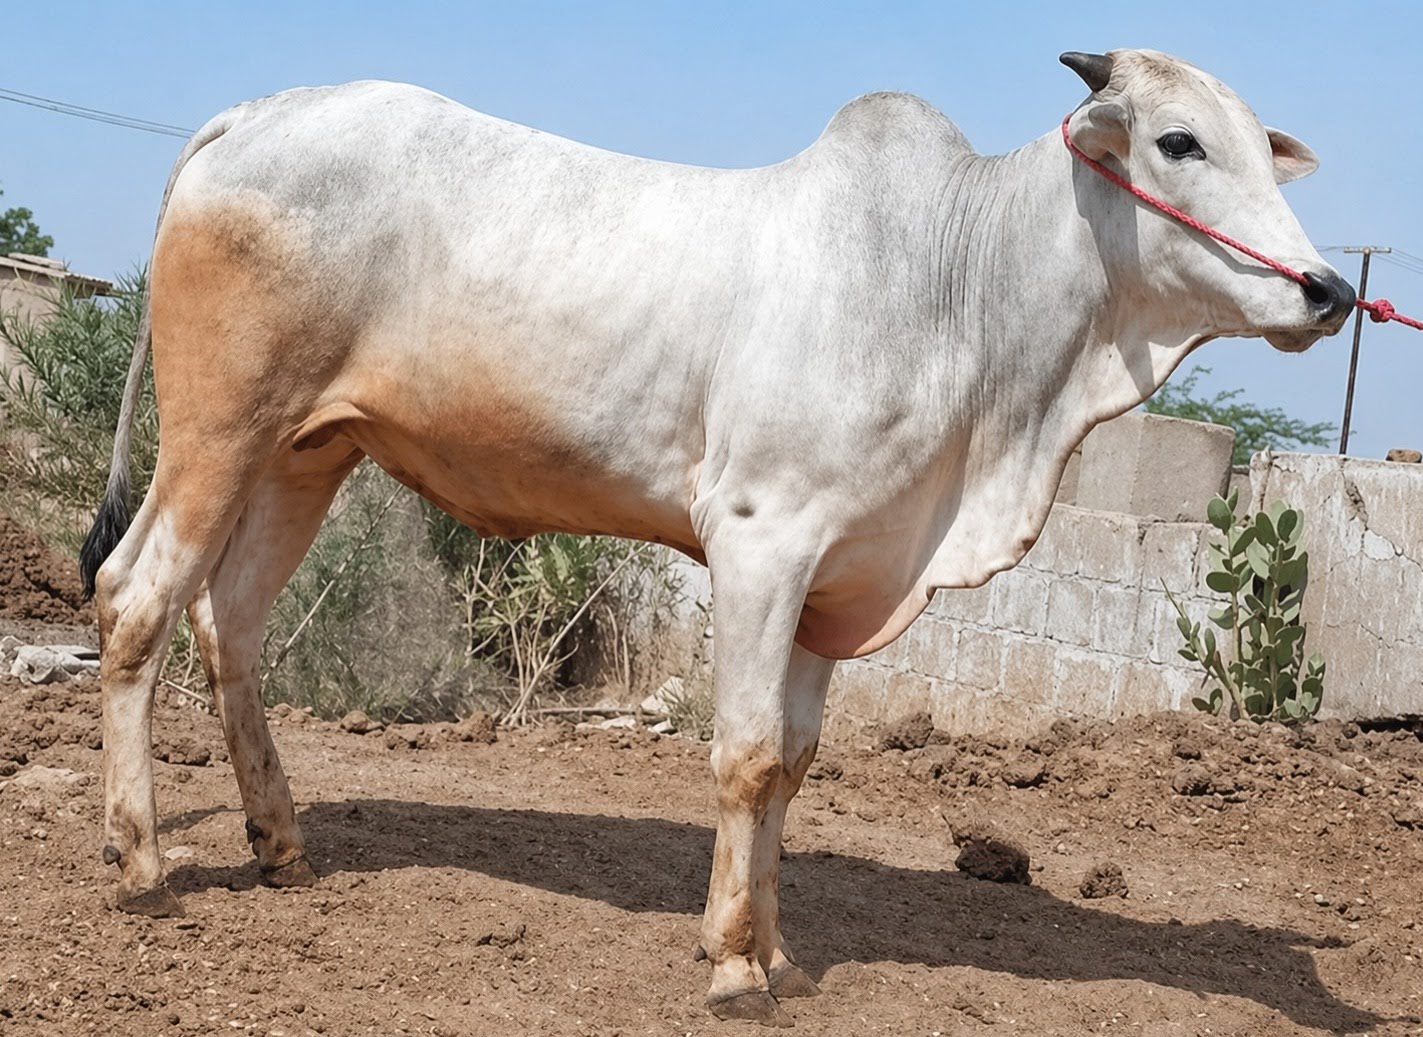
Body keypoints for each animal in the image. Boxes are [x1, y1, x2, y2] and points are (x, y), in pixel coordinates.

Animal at [81, 48, 1353, 1026]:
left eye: (1258, 147)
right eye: (1179, 142)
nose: (1326, 287)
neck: (955, 293)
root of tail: (262, 110)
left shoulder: (840, 575)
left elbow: (789, 760)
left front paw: (769, 946)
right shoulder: (762, 538)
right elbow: (742, 752)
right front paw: (736, 967)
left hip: (306, 450)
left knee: (229, 621)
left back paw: (279, 842)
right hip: (219, 426)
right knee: (136, 596)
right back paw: (141, 861)